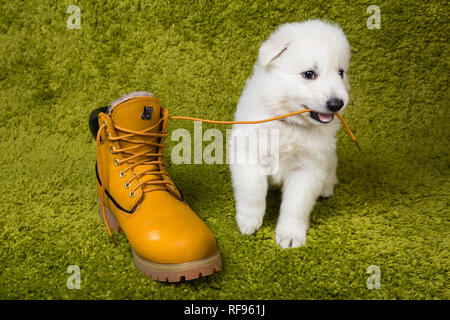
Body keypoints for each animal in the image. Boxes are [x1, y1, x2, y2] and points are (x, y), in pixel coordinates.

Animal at [229, 20, 352, 249]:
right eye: (309, 74)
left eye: (341, 72)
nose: (337, 103)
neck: (290, 124)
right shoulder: (249, 153)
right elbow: (253, 191)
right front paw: (249, 222)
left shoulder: (308, 168)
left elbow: (295, 205)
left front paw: (290, 235)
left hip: (329, 156)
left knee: (331, 171)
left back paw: (326, 188)